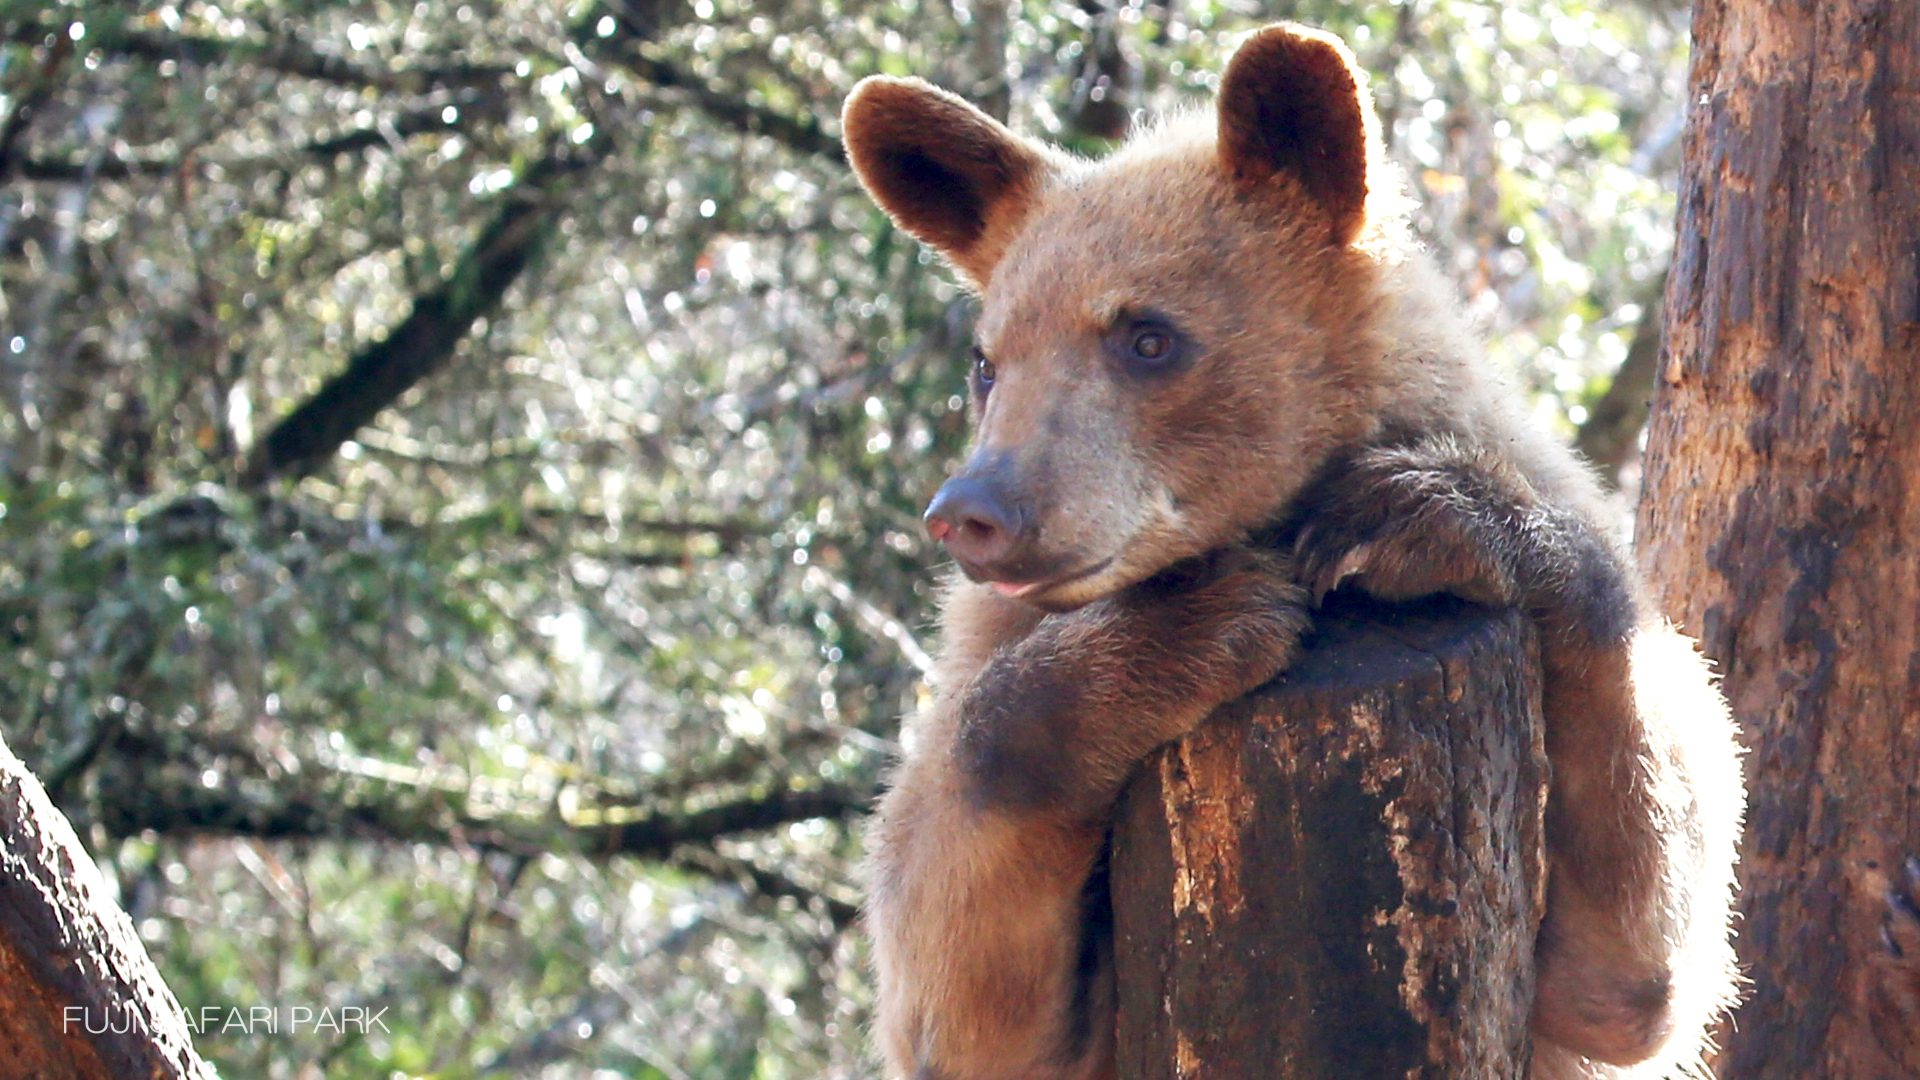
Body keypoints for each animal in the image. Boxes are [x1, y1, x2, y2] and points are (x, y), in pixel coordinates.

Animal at [840, 23, 1743, 1076]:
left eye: (1148, 336)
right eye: (988, 362)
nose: (975, 509)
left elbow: (1634, 952)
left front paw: (1415, 519)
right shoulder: (991, 648)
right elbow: (961, 993)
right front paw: (1201, 626)